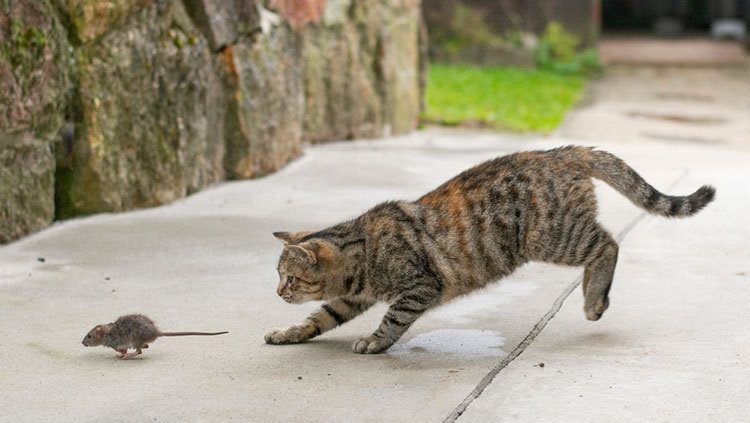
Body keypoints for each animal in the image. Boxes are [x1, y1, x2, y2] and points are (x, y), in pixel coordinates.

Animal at [264, 146, 716, 354]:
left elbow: (392, 320)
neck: (361, 248)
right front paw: (288, 332)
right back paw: (594, 297)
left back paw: (593, 301)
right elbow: (318, 318)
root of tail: (561, 152)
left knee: (608, 243)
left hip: (554, 236)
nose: (278, 292)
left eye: (290, 278)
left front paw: (375, 342)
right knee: (601, 246)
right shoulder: (348, 300)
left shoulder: (419, 287)